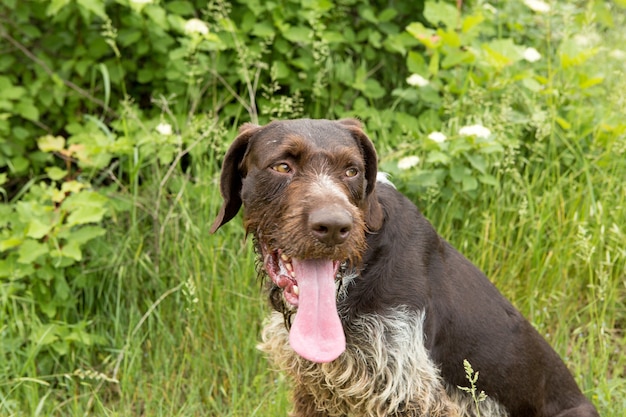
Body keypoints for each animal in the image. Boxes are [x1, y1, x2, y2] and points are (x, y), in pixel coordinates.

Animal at [211, 118, 600, 416]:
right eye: (282, 166)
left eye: (352, 170)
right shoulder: (315, 389)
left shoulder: (411, 392)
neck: (360, 274)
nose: (335, 226)